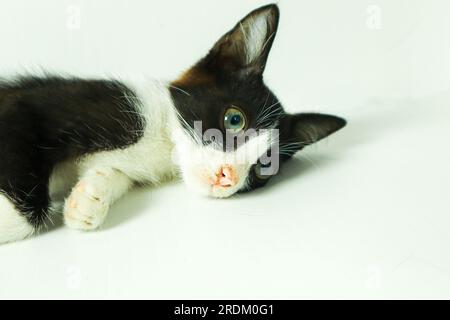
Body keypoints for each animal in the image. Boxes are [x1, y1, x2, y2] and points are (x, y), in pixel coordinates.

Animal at [0, 3, 348, 244]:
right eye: (234, 119)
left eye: (264, 166)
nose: (228, 177)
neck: (164, 143)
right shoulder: (27, 105)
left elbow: (114, 174)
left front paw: (88, 199)